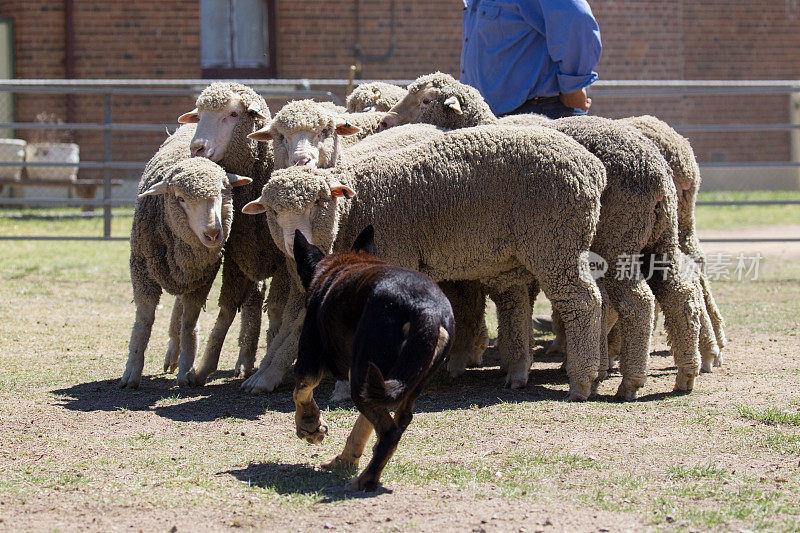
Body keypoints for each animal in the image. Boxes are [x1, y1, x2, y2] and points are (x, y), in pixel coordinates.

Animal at [118, 152, 250, 388]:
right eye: (180, 198)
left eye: (223, 191)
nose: (213, 234)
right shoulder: (141, 269)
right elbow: (144, 320)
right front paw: (131, 371)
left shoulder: (202, 277)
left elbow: (189, 322)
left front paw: (187, 370)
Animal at [244, 123, 608, 400]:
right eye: (272, 212)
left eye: (319, 201)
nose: (294, 243)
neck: (353, 210)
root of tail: (592, 167)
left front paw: (350, 386)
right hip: (517, 252)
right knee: (516, 303)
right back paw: (519, 372)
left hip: (555, 239)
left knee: (583, 301)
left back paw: (582, 380)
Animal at [292, 224, 456, 490]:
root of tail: (427, 309)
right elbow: (363, 426)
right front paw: (346, 459)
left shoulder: (310, 357)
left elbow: (301, 392)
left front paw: (310, 425)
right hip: (393, 381)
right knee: (398, 420)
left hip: (361, 378)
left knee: (390, 433)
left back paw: (366, 480)